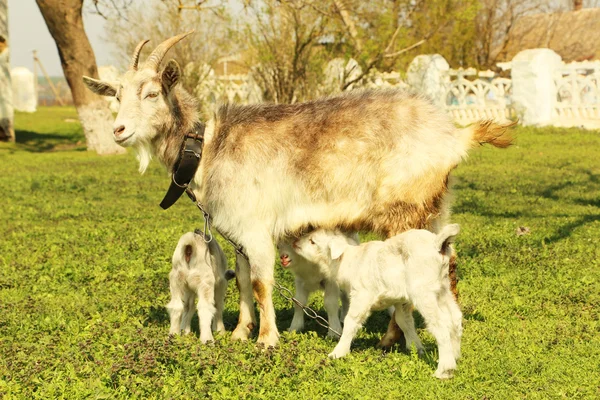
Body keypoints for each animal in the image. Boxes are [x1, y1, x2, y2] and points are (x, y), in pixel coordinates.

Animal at [83, 32, 516, 346]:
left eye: (152, 92)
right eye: (117, 95)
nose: (118, 130)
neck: (208, 148)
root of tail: (453, 135)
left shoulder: (257, 229)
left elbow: (262, 283)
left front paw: (267, 339)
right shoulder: (239, 234)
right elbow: (243, 282)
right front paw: (240, 333)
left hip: (406, 211)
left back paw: (391, 339)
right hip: (437, 207)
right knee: (450, 262)